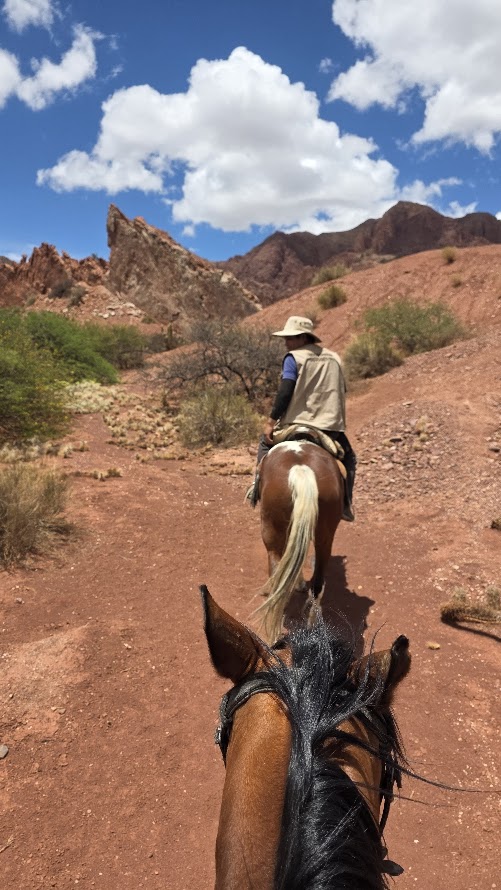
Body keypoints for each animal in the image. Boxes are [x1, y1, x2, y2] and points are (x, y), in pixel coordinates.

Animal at [256, 437, 345, 642]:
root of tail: (301, 469)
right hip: (325, 535)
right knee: (318, 583)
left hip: (271, 529)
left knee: (277, 572)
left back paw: (273, 633)